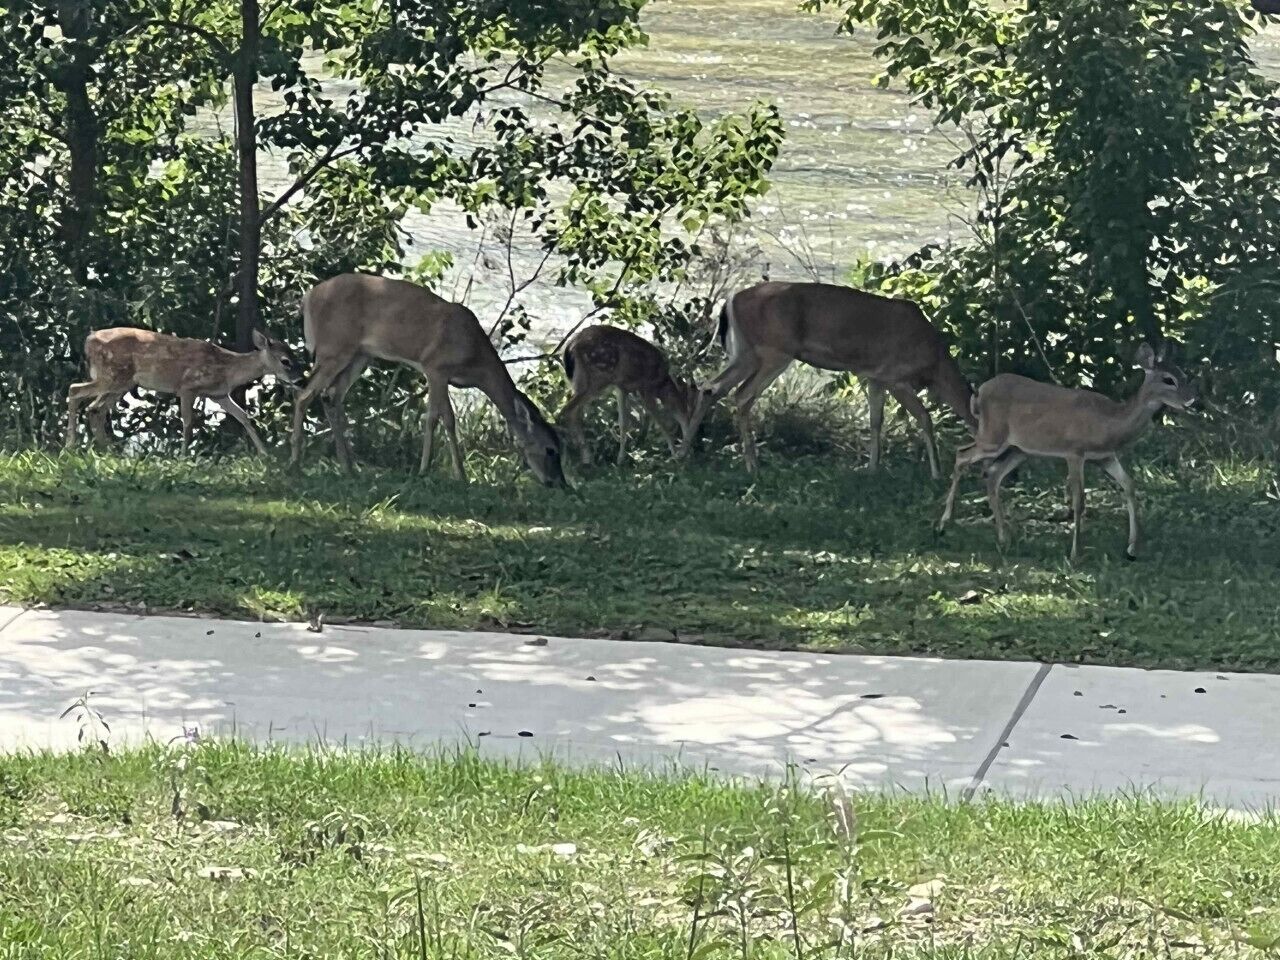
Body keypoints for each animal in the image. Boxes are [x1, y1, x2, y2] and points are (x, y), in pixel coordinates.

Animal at [65, 327, 301, 455]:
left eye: (294, 355)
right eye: (285, 361)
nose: (299, 379)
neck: (228, 369)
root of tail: (88, 341)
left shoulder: (219, 395)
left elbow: (244, 416)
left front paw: (265, 454)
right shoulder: (187, 387)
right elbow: (188, 422)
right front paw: (184, 456)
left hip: (122, 383)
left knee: (95, 409)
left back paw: (107, 450)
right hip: (111, 376)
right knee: (75, 390)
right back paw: (71, 445)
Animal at [289, 272, 568, 488]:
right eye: (550, 450)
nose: (559, 483)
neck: (474, 356)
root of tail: (308, 297)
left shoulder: (441, 375)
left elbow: (441, 416)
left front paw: (449, 472)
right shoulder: (435, 367)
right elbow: (439, 418)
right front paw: (439, 472)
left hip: (360, 355)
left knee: (331, 395)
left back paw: (348, 466)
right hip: (333, 348)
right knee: (304, 394)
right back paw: (296, 463)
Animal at [558, 325, 699, 466]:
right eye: (687, 406)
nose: (690, 442)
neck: (661, 383)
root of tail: (570, 347)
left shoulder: (621, 387)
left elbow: (623, 422)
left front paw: (620, 459)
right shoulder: (646, 387)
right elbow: (659, 420)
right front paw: (674, 454)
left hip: (581, 381)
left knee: (574, 412)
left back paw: (584, 458)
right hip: (596, 379)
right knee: (567, 411)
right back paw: (577, 459)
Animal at [678, 281, 977, 477]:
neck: (934, 362)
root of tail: (730, 301)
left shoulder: (875, 377)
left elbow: (875, 421)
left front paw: (871, 468)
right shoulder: (895, 376)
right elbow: (925, 418)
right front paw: (936, 473)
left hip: (745, 351)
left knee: (710, 388)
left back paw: (684, 454)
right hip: (775, 351)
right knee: (741, 395)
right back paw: (752, 465)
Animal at [937, 342, 1197, 561]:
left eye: (1184, 375)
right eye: (1168, 380)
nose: (1191, 400)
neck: (1109, 422)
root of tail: (979, 391)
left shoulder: (1106, 456)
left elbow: (1130, 486)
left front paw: (1131, 548)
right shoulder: (1074, 452)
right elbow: (1079, 501)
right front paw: (1075, 553)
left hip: (1018, 449)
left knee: (992, 475)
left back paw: (1003, 539)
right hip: (993, 436)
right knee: (962, 454)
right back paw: (943, 523)